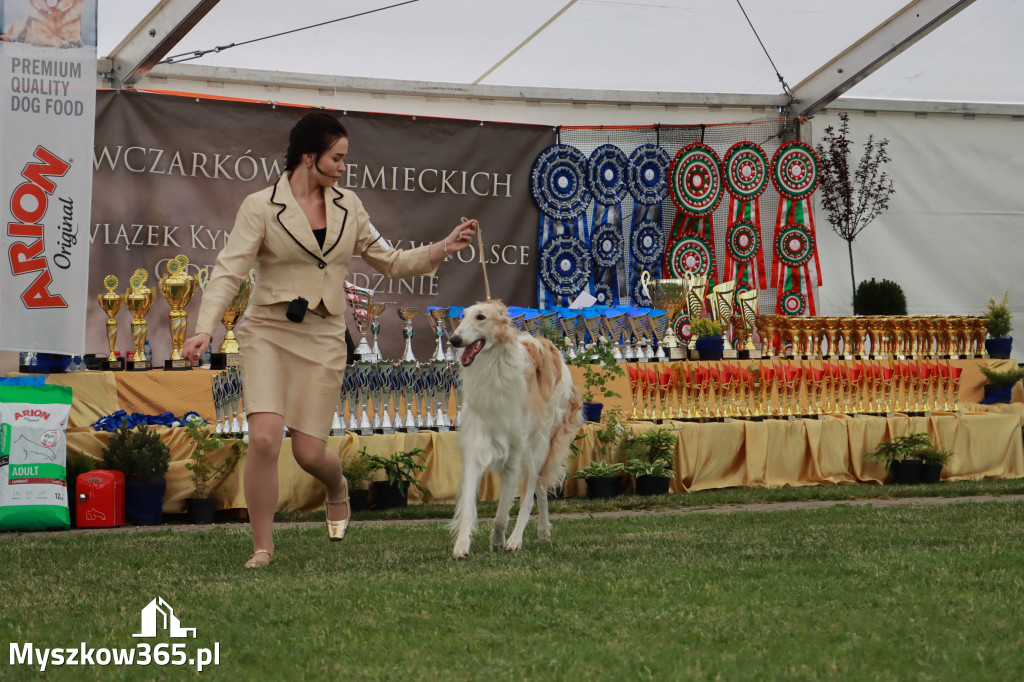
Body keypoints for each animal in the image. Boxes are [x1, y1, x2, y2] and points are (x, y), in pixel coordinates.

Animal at [450, 301, 585, 557]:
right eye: (462, 316)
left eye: (481, 317)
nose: (454, 339)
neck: (494, 371)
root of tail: (548, 344)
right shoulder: (477, 446)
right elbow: (468, 504)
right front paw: (462, 544)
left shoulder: (513, 454)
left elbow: (502, 515)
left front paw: (498, 540)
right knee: (540, 489)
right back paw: (543, 531)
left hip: (538, 446)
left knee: (531, 494)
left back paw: (515, 540)